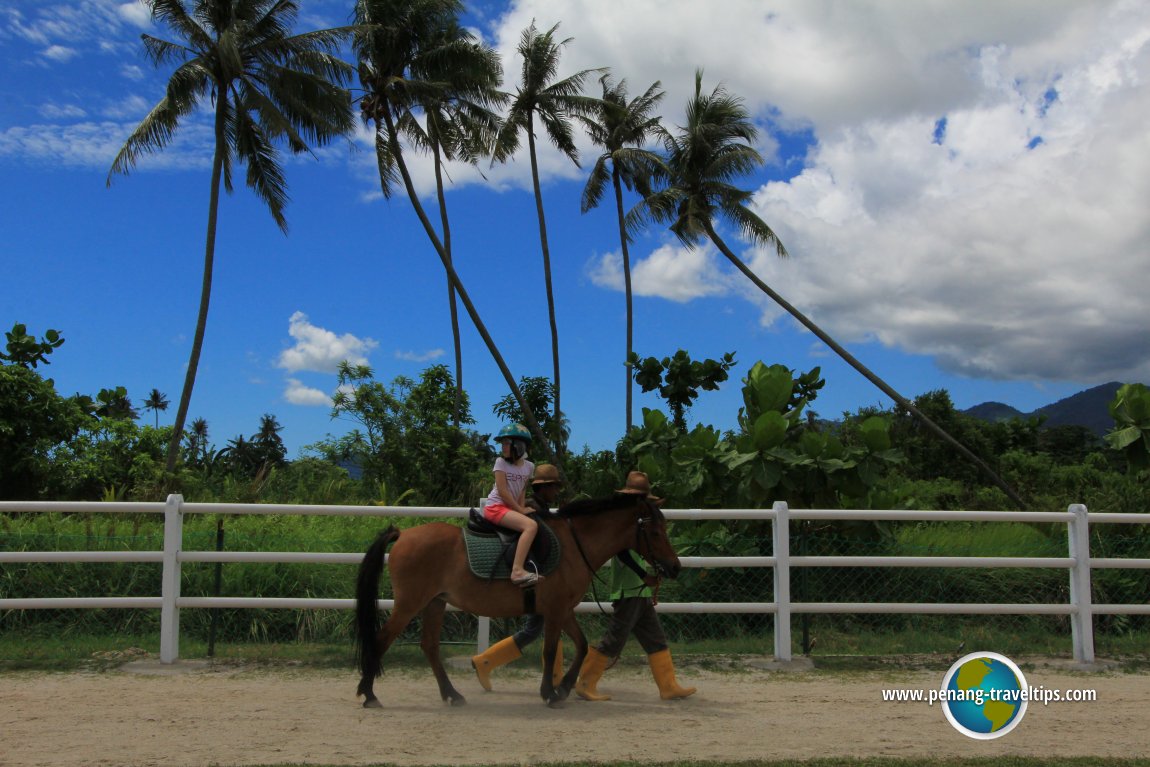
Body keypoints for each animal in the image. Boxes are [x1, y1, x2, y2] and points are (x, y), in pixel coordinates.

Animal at [354, 494, 676, 712]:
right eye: (655, 532)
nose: (673, 566)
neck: (574, 545)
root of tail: (403, 534)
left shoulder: (563, 610)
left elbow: (583, 645)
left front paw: (564, 688)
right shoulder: (556, 610)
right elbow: (550, 651)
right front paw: (550, 692)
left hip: (435, 603)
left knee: (430, 646)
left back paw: (452, 694)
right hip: (410, 604)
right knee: (381, 640)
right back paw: (369, 693)